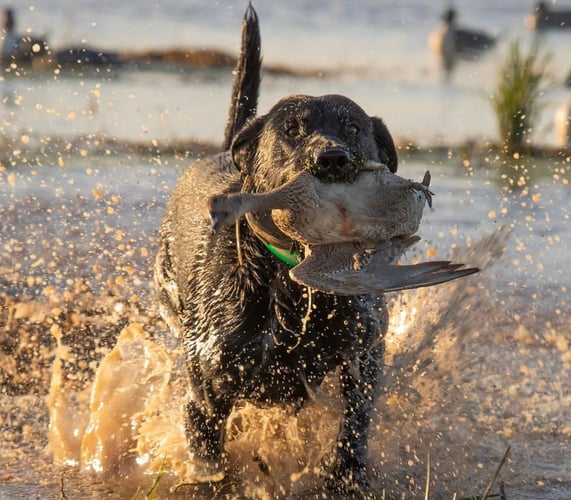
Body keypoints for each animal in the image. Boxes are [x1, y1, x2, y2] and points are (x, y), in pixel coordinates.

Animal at [155, 4, 402, 496]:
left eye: (352, 127)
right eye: (291, 129)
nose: (331, 159)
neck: (297, 286)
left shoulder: (363, 356)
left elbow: (353, 426)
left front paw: (344, 474)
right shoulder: (205, 397)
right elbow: (210, 458)